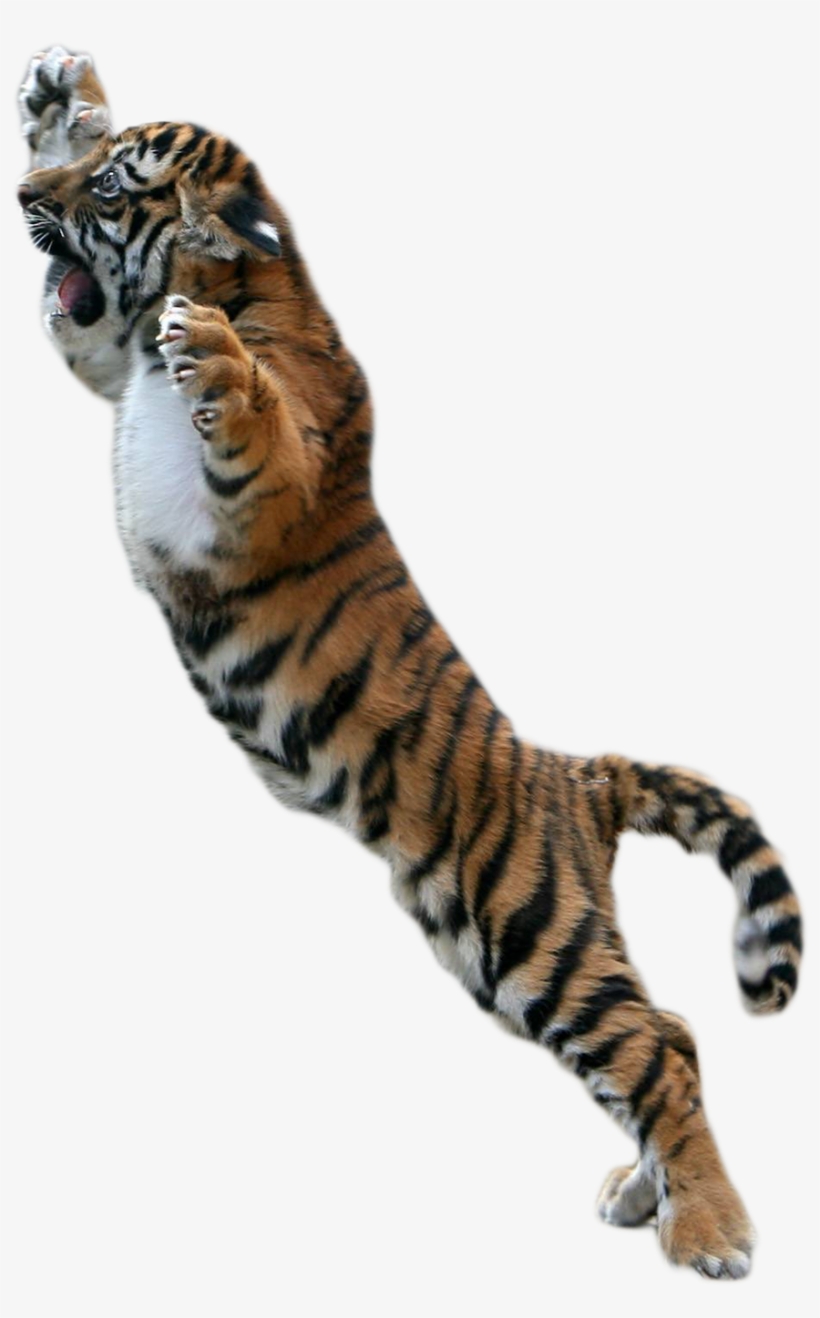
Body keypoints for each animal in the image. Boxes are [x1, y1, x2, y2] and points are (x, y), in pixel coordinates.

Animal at [17, 46, 802, 1281]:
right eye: (86, 165)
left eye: (108, 189)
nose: (23, 200)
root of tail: (574, 775)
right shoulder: (105, 359)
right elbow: (82, 332)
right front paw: (60, 88)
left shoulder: (266, 487)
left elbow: (252, 414)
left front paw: (216, 351)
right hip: (482, 951)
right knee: (665, 1034)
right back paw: (648, 1194)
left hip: (531, 929)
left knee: (651, 1047)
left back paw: (712, 1234)